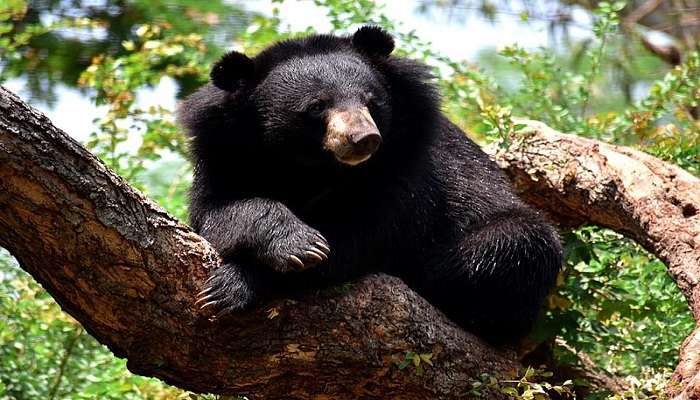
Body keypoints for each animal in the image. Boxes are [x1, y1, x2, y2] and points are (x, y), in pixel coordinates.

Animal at [180, 25, 564, 344]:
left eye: (370, 100)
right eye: (317, 106)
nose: (363, 139)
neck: (312, 167)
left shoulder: (406, 168)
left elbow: (363, 236)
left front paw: (237, 283)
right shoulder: (225, 156)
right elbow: (219, 211)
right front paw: (297, 243)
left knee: (517, 242)